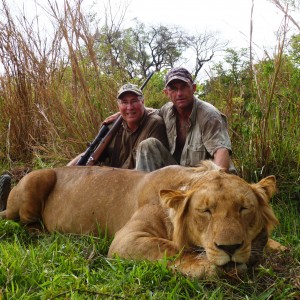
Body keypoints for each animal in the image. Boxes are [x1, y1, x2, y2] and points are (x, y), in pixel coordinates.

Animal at [0, 162, 282, 278]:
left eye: (244, 208)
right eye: (205, 211)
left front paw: (277, 246)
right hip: (39, 177)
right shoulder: (126, 239)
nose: (230, 248)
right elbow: (171, 247)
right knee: (25, 222)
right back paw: (43, 233)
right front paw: (203, 266)